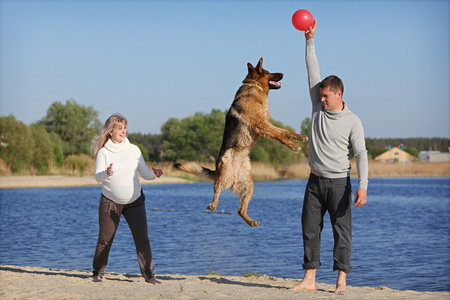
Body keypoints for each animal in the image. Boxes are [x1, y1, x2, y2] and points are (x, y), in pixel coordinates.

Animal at [174, 58, 308, 227]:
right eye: (269, 72)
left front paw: (300, 137)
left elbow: (284, 131)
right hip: (224, 173)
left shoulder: (267, 124)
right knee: (217, 190)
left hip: (249, 187)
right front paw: (294, 146)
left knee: (240, 210)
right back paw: (213, 204)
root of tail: (233, 178)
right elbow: (280, 136)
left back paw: (251, 222)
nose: (283, 74)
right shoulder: (262, 125)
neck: (254, 87)